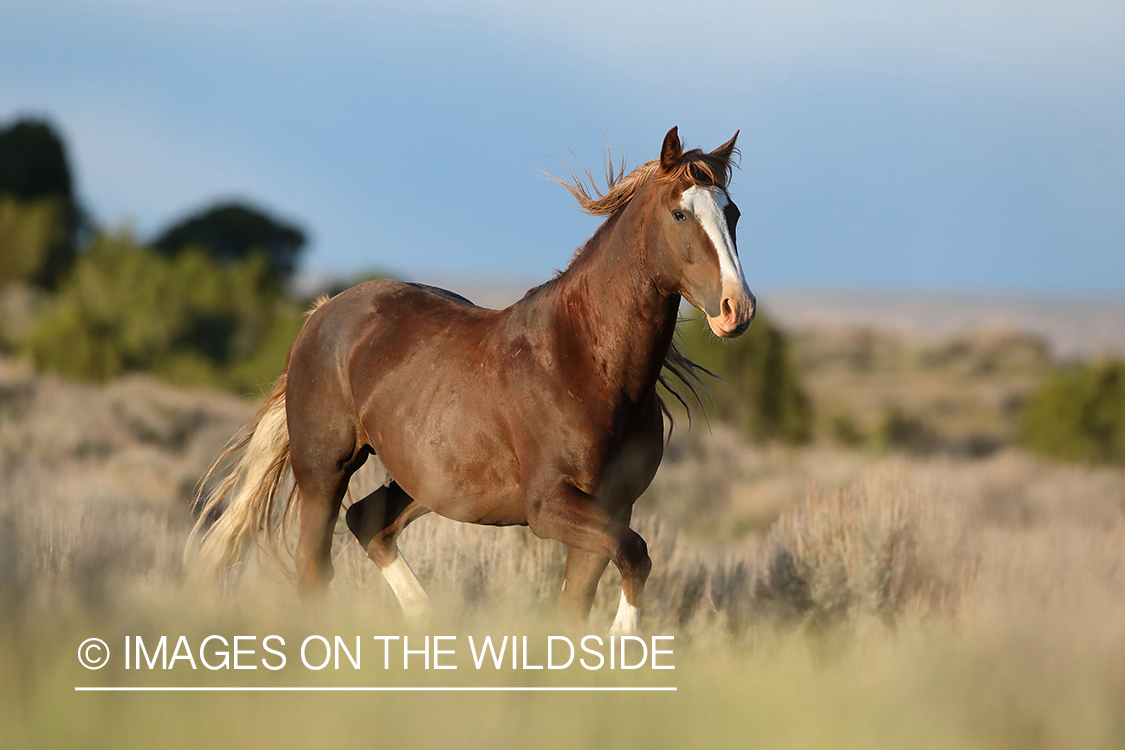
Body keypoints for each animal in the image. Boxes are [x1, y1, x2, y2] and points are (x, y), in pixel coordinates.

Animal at [191, 129, 756, 634]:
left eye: (732, 214)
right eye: (680, 213)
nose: (738, 309)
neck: (587, 365)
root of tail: (322, 313)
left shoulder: (613, 506)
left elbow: (581, 601)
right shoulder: (550, 507)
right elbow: (636, 556)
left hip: (424, 482)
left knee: (369, 524)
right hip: (323, 472)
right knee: (315, 566)